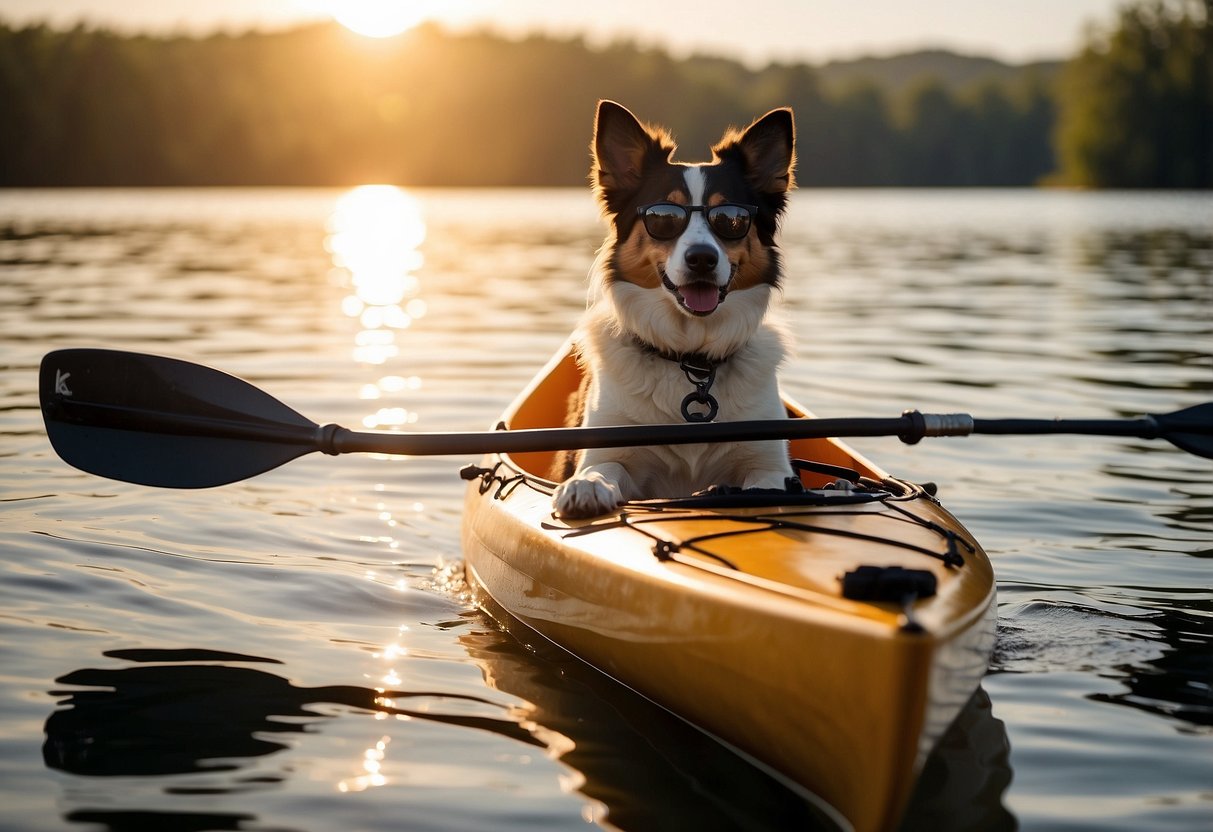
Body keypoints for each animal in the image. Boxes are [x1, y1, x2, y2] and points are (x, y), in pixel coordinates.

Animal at [550, 101, 795, 519]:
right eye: (664, 217)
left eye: (731, 219)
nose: (702, 259)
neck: (692, 356)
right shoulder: (609, 447)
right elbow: (602, 467)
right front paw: (586, 486)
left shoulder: (768, 463)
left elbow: (772, 485)